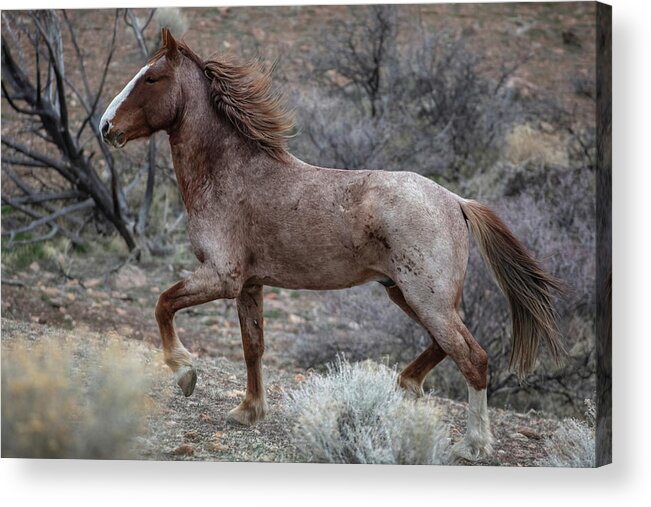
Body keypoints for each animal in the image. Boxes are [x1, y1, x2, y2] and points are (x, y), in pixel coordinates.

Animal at [99, 29, 564, 462]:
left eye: (152, 78)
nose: (106, 127)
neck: (230, 174)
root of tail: (455, 201)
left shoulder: (221, 277)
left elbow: (163, 303)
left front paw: (185, 373)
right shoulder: (249, 285)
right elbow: (253, 347)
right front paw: (248, 412)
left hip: (425, 297)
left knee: (474, 357)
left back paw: (474, 444)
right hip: (406, 294)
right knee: (444, 346)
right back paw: (407, 387)